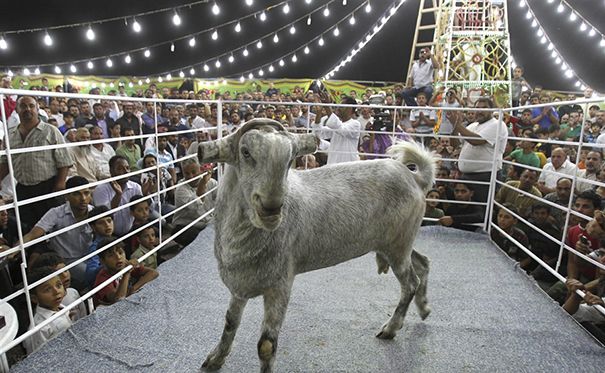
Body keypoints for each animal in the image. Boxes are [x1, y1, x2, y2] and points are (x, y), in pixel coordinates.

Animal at [198, 119, 434, 372]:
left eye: (290, 159)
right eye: (245, 152)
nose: (272, 208)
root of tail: (415, 178)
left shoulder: (280, 283)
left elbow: (266, 345)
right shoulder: (240, 285)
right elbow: (230, 322)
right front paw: (215, 359)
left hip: (399, 245)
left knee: (410, 283)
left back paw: (391, 328)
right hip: (397, 242)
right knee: (423, 263)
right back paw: (424, 308)